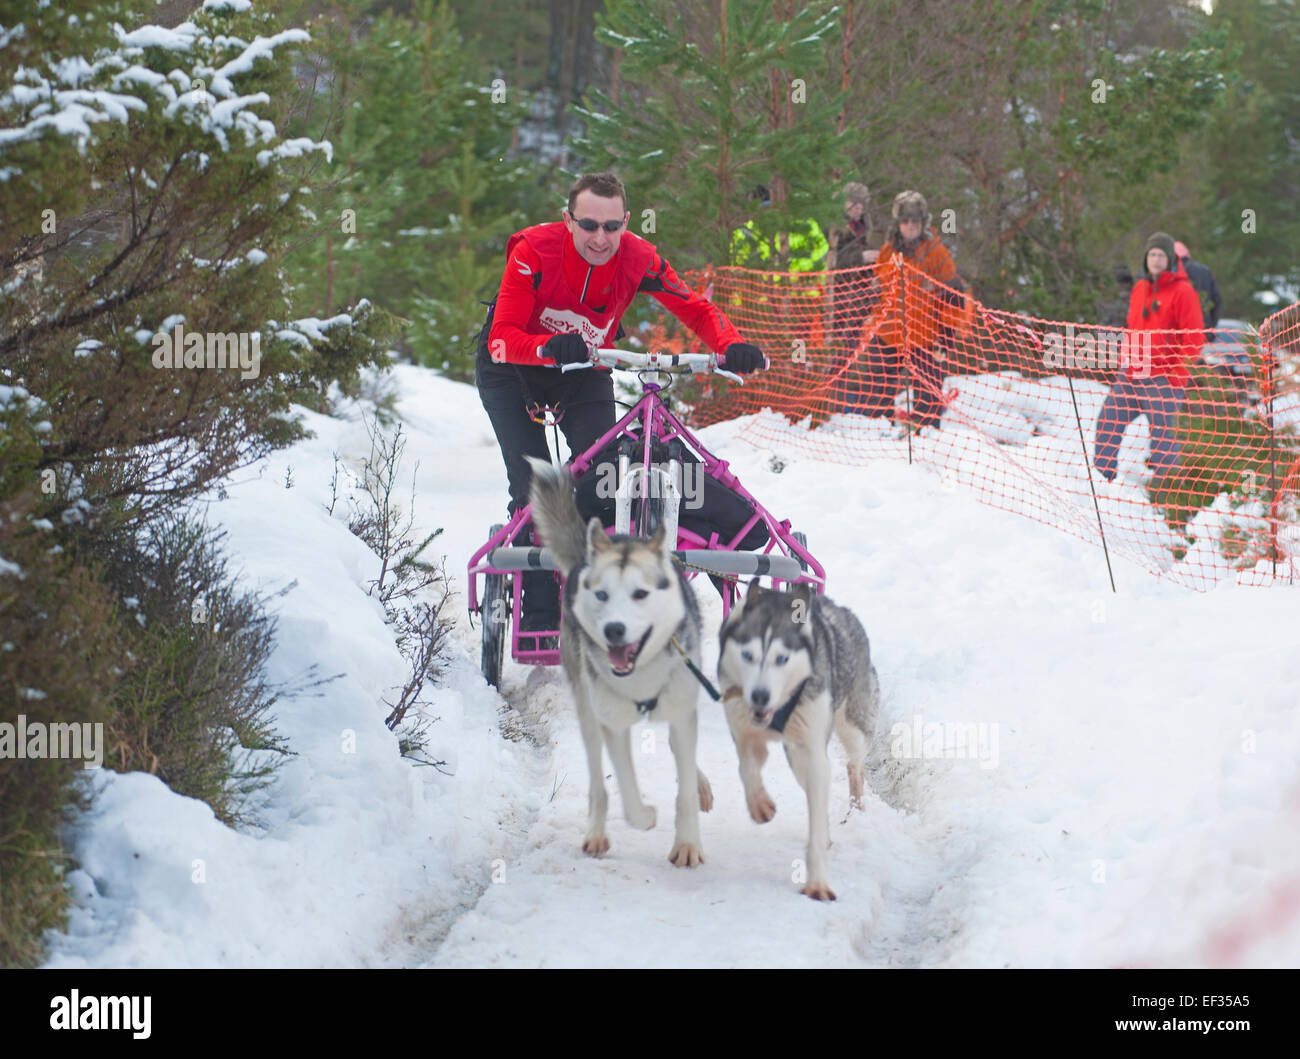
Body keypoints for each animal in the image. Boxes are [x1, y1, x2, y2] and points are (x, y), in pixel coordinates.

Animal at [525, 457, 717, 867]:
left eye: (640, 594)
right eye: (602, 594)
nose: (613, 629)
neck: (642, 674)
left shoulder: (681, 711)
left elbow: (685, 783)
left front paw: (687, 843)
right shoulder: (613, 723)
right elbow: (627, 791)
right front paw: (646, 817)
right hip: (587, 710)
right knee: (598, 782)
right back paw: (596, 833)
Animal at [717, 579, 878, 904]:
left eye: (782, 658)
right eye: (748, 655)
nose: (760, 696)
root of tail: (844, 611)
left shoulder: (814, 751)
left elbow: (815, 823)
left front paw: (817, 883)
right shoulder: (743, 730)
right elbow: (746, 766)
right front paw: (759, 804)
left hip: (850, 725)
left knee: (854, 766)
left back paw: (856, 811)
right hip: (795, 755)